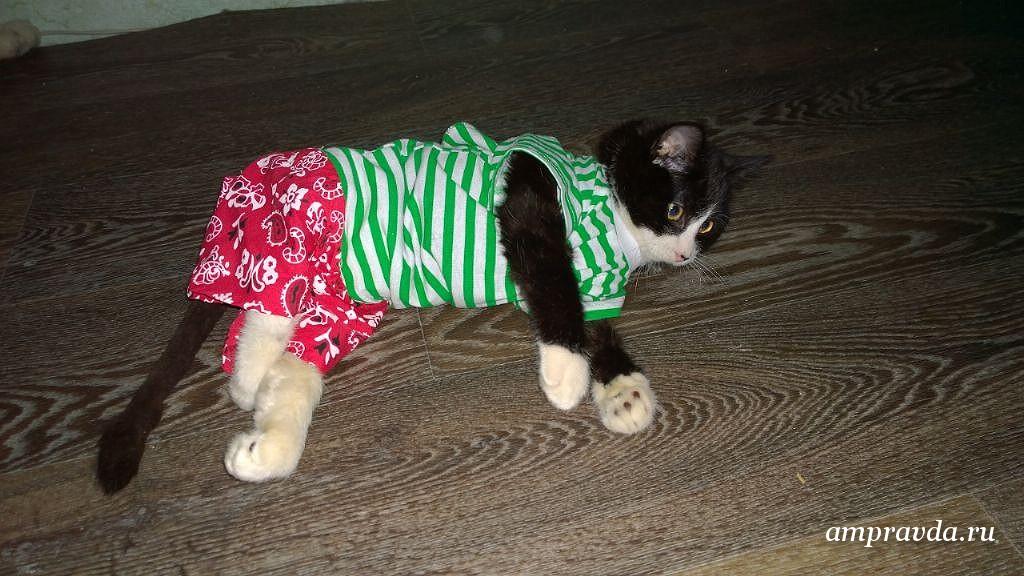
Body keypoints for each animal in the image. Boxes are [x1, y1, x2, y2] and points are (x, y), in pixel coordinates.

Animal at [96, 119, 766, 493]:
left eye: (711, 228)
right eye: (677, 211)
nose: (686, 253)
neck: (610, 218)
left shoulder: (599, 289)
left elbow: (596, 329)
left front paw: (624, 392)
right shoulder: (530, 201)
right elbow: (555, 287)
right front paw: (566, 375)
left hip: (346, 299)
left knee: (288, 350)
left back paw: (258, 422)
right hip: (301, 219)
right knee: (270, 299)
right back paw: (249, 373)